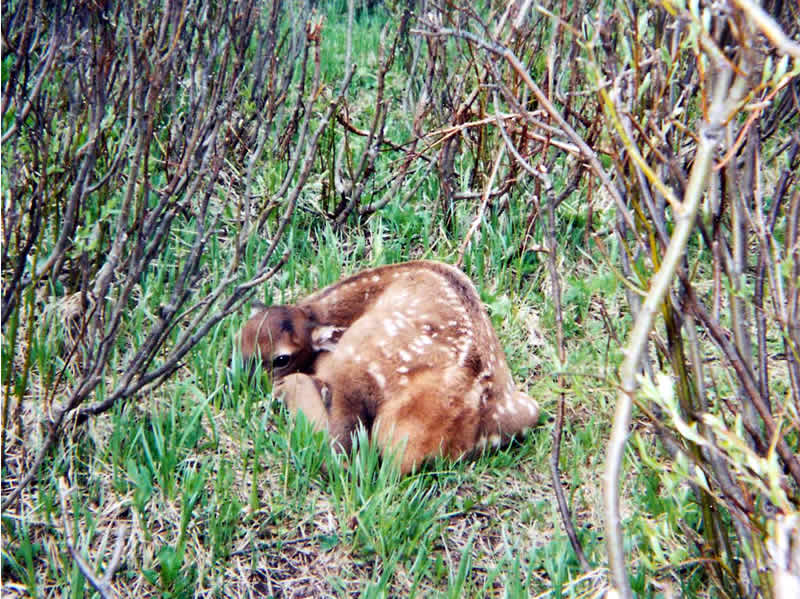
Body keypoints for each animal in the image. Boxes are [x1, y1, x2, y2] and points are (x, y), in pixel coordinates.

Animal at [240, 260, 540, 473]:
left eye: (282, 358)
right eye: (239, 339)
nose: (243, 379)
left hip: (355, 364)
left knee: (341, 455)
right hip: (527, 411)